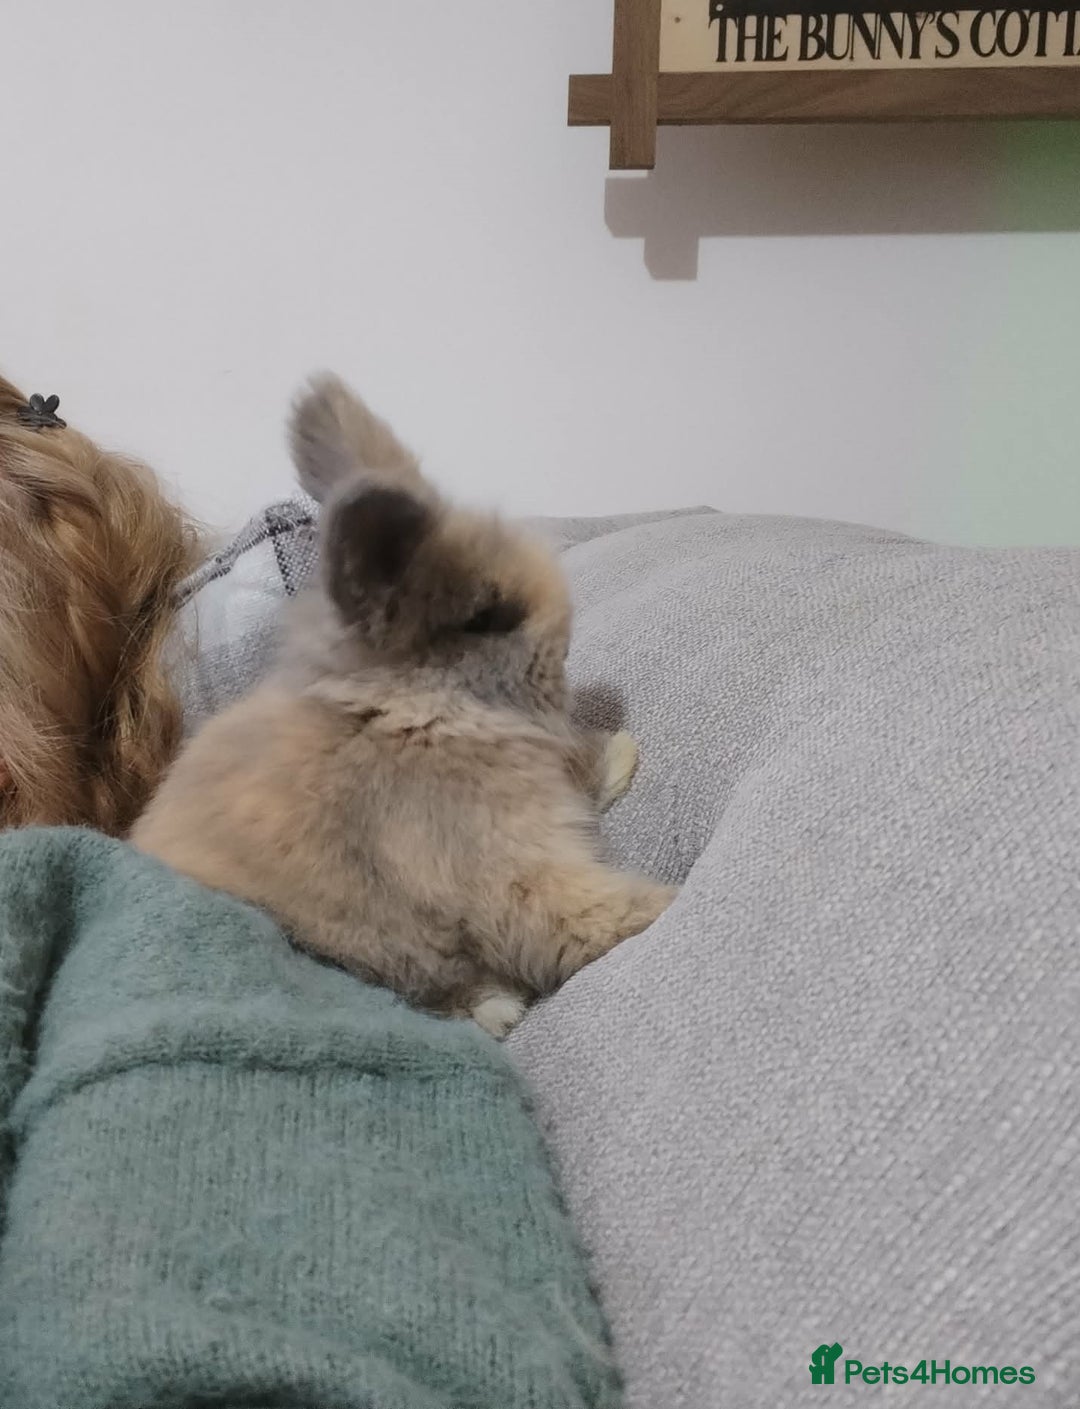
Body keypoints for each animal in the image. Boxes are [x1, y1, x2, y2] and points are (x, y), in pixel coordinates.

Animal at [132, 376, 677, 1037]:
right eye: (488, 617)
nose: (563, 656)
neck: (412, 713)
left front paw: (619, 753)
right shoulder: (510, 874)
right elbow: (585, 918)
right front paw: (673, 898)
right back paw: (494, 1008)